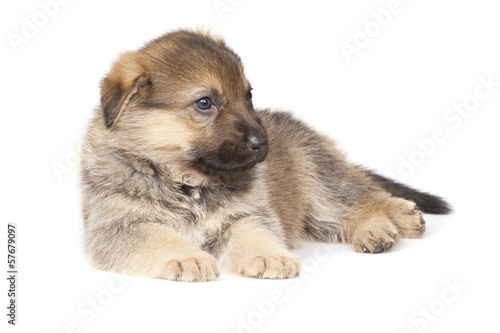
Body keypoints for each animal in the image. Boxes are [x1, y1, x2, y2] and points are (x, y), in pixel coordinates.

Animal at [80, 29, 452, 282]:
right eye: (205, 103)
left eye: (248, 96)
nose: (263, 143)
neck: (186, 181)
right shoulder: (119, 227)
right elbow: (158, 237)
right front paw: (187, 258)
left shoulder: (247, 215)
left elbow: (255, 234)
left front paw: (269, 256)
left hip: (319, 184)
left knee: (361, 197)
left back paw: (392, 221)